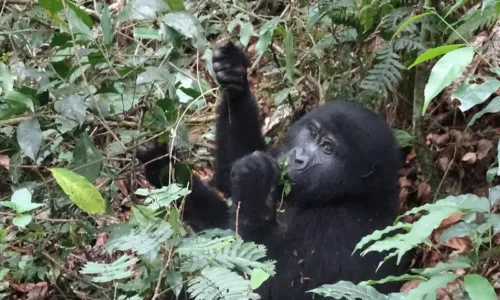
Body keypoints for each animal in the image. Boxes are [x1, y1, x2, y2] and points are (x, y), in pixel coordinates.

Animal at [136, 40, 406, 300]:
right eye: (312, 134)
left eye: (328, 149)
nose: (298, 158)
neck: (353, 195)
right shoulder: (278, 155)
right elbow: (227, 182)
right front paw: (234, 80)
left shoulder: (342, 230)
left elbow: (273, 285)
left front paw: (254, 180)